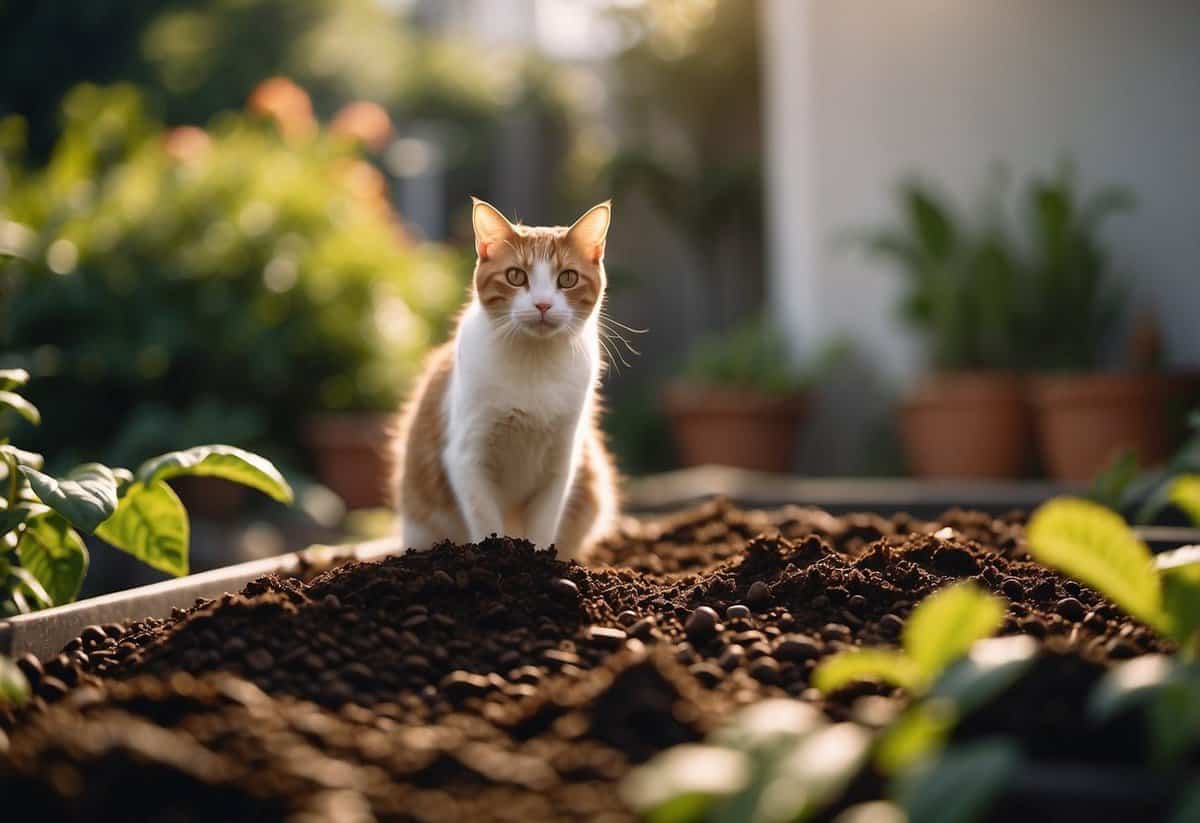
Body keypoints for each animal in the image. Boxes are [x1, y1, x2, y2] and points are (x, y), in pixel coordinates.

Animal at [393, 199, 619, 561]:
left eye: (568, 278)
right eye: (516, 276)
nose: (543, 304)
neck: (534, 363)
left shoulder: (560, 465)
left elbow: (543, 526)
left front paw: (540, 560)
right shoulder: (467, 458)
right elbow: (486, 522)